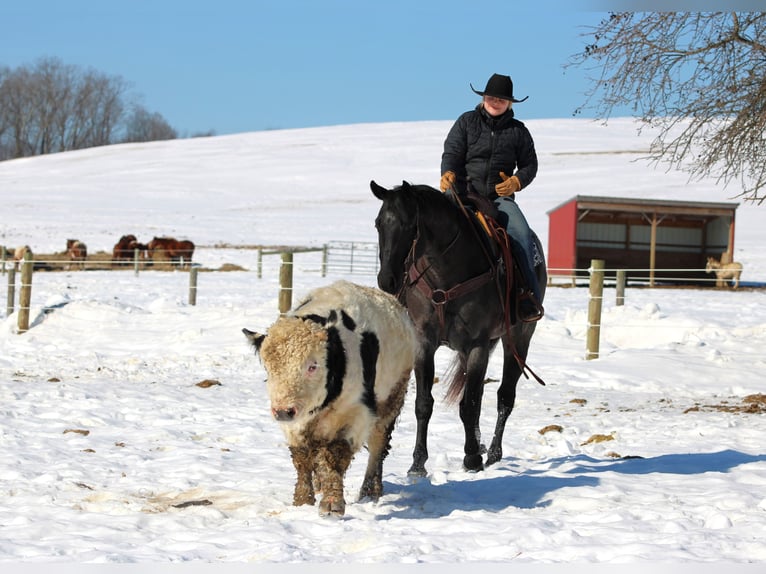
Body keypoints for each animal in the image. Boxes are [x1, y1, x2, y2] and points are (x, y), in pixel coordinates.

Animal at [371, 180, 547, 475]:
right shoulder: (424, 343)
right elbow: (424, 404)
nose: (387, 280)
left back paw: (493, 453)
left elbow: (470, 405)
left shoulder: (477, 344)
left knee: (504, 397)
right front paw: (417, 463)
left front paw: (472, 458)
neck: (446, 275)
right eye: (378, 223)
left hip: (519, 337)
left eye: (409, 225)